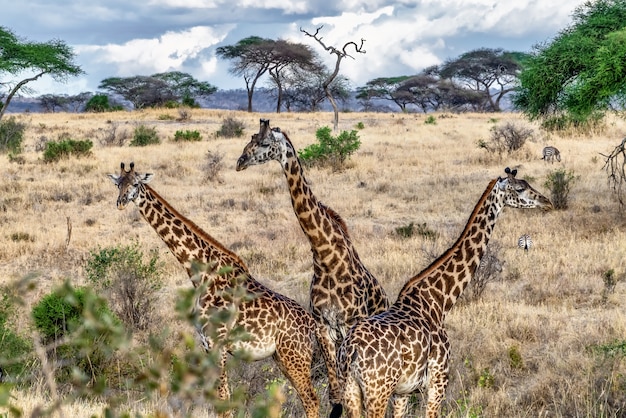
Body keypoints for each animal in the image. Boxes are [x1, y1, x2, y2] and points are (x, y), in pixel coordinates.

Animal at [107, 162, 320, 416]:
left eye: (136, 183)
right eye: (118, 183)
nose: (120, 202)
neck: (201, 274)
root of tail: (314, 326)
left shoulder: (217, 343)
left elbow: (224, 400)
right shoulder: (206, 345)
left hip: (294, 356)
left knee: (311, 399)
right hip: (282, 357)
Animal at [235, 119, 388, 416]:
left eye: (263, 143)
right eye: (249, 140)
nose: (240, 162)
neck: (326, 257)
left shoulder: (349, 325)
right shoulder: (323, 328)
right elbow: (335, 395)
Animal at [334, 167, 548, 418]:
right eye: (521, 188)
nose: (546, 201)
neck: (439, 301)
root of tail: (351, 351)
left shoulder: (402, 392)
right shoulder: (438, 381)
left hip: (349, 388)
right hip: (377, 391)